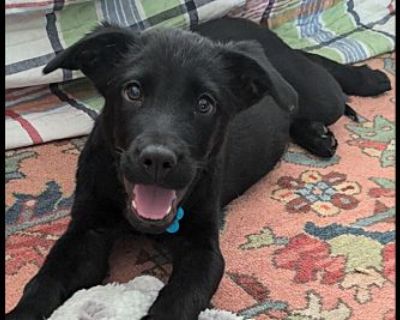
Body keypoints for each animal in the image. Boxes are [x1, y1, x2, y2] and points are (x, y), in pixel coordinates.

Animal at [7, 18, 390, 320]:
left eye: (205, 104)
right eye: (133, 91)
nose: (158, 160)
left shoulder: (203, 251)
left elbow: (177, 301)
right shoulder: (86, 232)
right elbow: (43, 281)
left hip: (318, 95)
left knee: (316, 71)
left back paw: (369, 79)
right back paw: (318, 134)